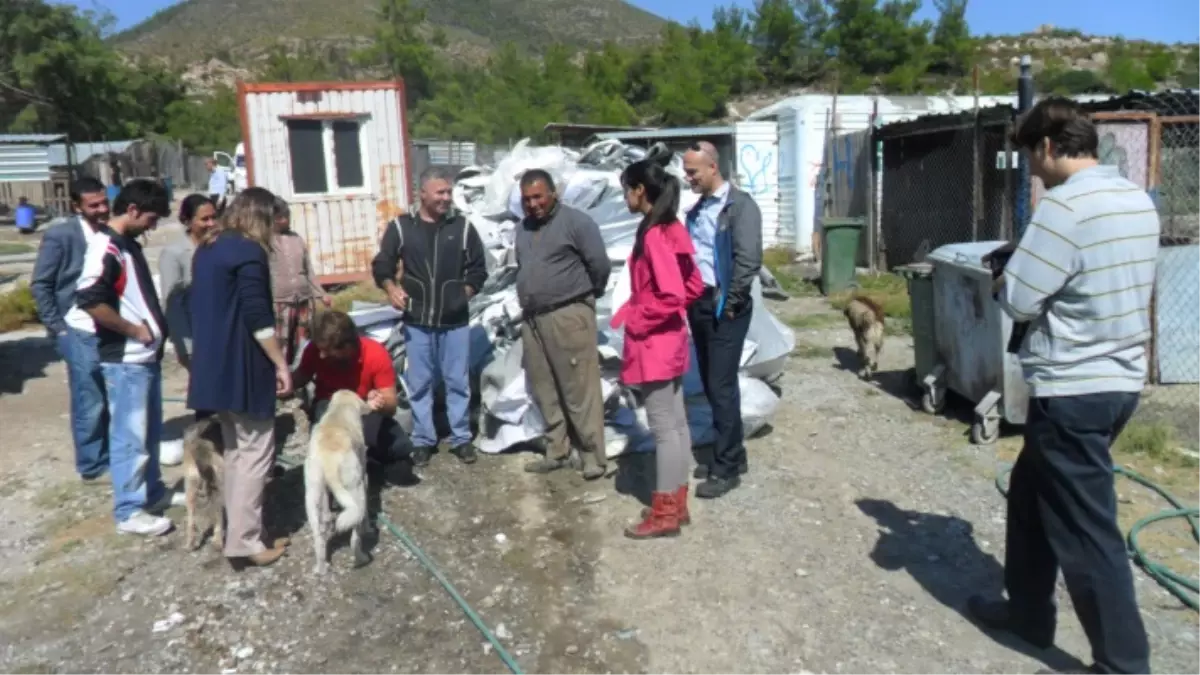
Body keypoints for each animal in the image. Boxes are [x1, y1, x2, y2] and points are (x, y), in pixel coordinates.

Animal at [181, 413, 224, 550]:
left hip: (190, 483)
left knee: (191, 519)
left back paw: (190, 543)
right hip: (219, 482)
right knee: (219, 514)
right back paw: (218, 541)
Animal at [304, 386, 369, 569]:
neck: (340, 409)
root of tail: (330, 461)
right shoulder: (364, 475)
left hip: (312, 494)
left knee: (318, 535)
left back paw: (321, 568)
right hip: (356, 490)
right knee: (355, 537)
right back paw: (361, 558)